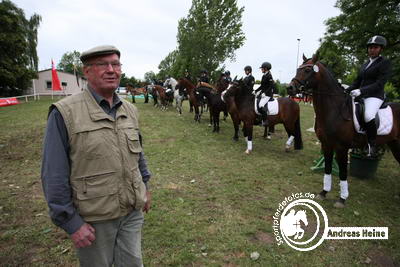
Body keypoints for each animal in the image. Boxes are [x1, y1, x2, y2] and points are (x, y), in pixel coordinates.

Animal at [288, 54, 400, 208]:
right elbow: (328, 167)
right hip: (395, 144)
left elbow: (342, 172)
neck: (334, 110)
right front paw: (323, 192)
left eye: (307, 70)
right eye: (298, 69)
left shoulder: (342, 147)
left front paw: (342, 199)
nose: (290, 88)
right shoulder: (326, 144)